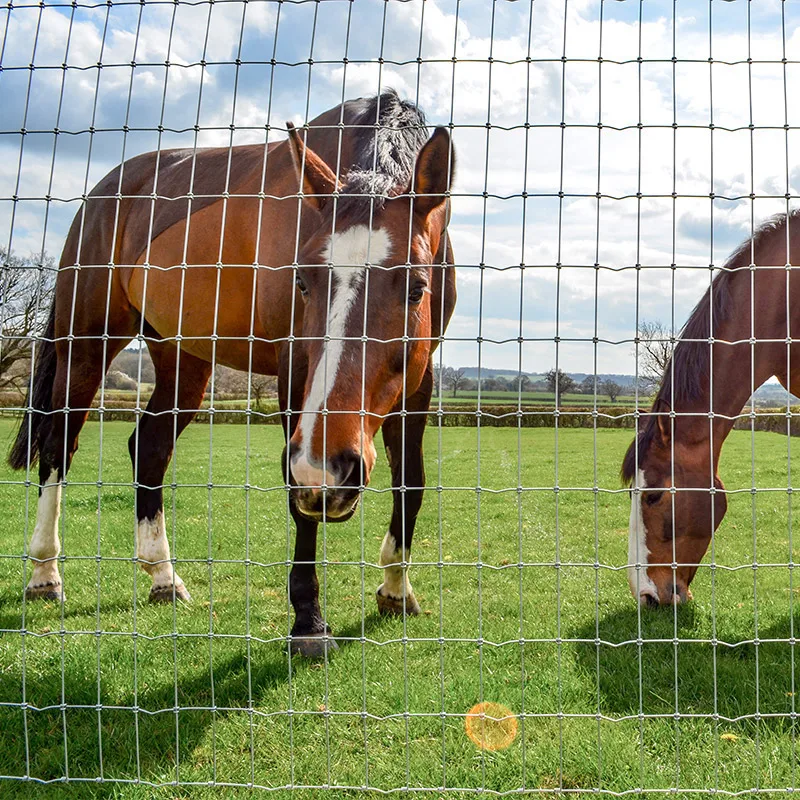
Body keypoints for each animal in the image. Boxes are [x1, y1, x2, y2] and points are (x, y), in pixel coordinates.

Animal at [8, 89, 457, 657]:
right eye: (302, 282)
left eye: (417, 288)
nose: (332, 471)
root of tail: (107, 189)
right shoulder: (293, 374)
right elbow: (298, 497)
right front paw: (309, 622)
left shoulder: (419, 378)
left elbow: (411, 483)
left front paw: (397, 589)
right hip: (87, 343)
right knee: (57, 446)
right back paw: (44, 573)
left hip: (181, 358)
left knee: (149, 447)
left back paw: (162, 577)